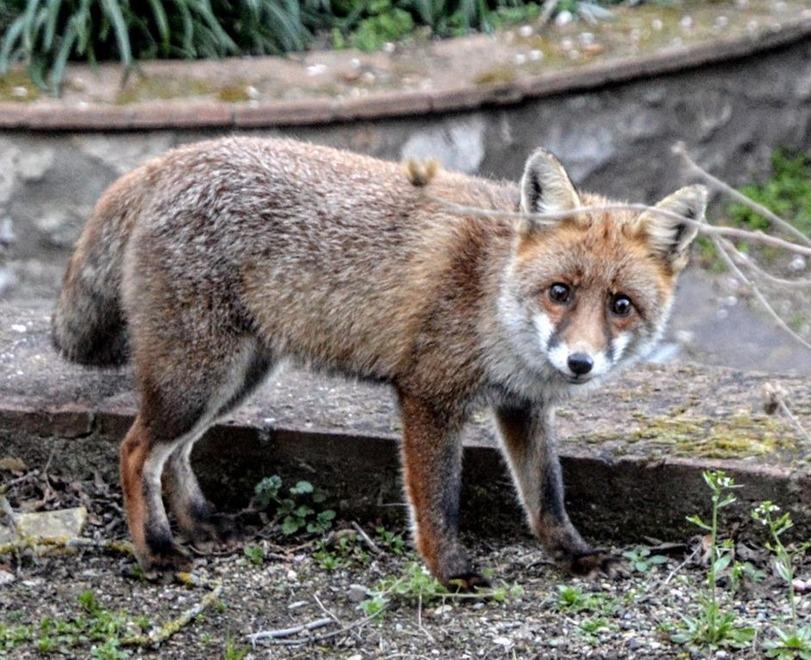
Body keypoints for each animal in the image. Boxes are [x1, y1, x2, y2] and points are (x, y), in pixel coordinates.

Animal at [52, 136, 706, 586]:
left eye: (620, 305)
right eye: (561, 292)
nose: (579, 364)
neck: (491, 294)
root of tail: (171, 157)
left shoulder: (523, 407)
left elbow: (547, 494)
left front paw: (571, 553)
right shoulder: (427, 395)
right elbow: (438, 502)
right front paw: (450, 573)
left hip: (233, 378)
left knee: (177, 455)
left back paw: (198, 524)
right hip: (197, 377)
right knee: (136, 451)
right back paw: (156, 550)